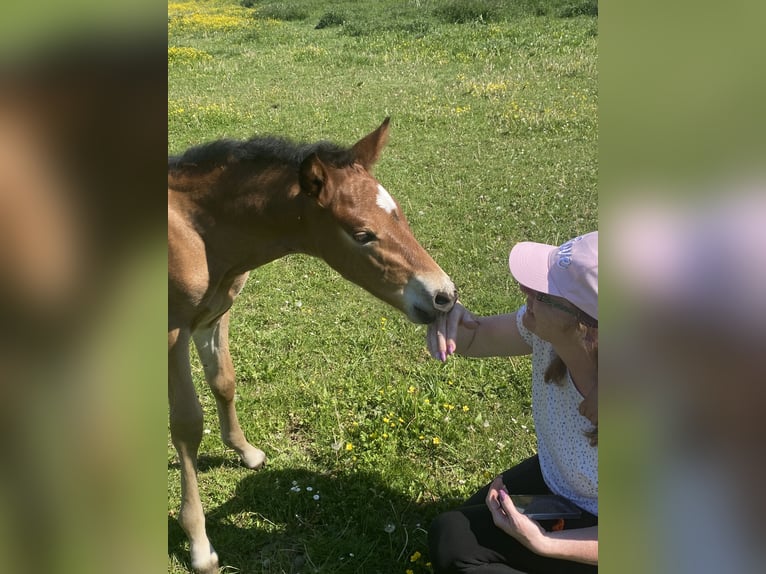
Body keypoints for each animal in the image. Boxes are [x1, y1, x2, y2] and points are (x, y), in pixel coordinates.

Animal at [168, 118, 457, 574]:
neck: (197, 233)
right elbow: (187, 424)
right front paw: (198, 543)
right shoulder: (174, 331)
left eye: (400, 214)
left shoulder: (213, 316)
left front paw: (246, 452)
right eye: (362, 234)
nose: (444, 295)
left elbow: (224, 382)